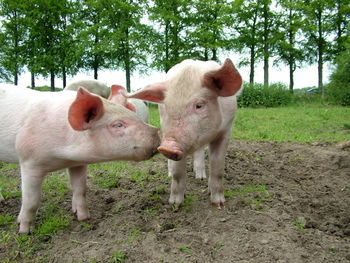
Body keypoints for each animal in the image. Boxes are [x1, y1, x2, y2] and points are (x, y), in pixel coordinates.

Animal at [0, 85, 159, 235]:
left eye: (135, 116)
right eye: (118, 125)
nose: (157, 132)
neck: (62, 158)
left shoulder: (78, 164)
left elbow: (80, 189)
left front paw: (83, 218)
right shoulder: (29, 162)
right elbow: (31, 200)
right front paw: (24, 232)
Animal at [127, 58, 242, 209]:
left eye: (199, 105)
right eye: (168, 107)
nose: (167, 147)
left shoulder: (226, 130)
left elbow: (217, 168)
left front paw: (218, 204)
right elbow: (178, 173)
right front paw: (175, 205)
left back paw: (200, 177)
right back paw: (172, 174)